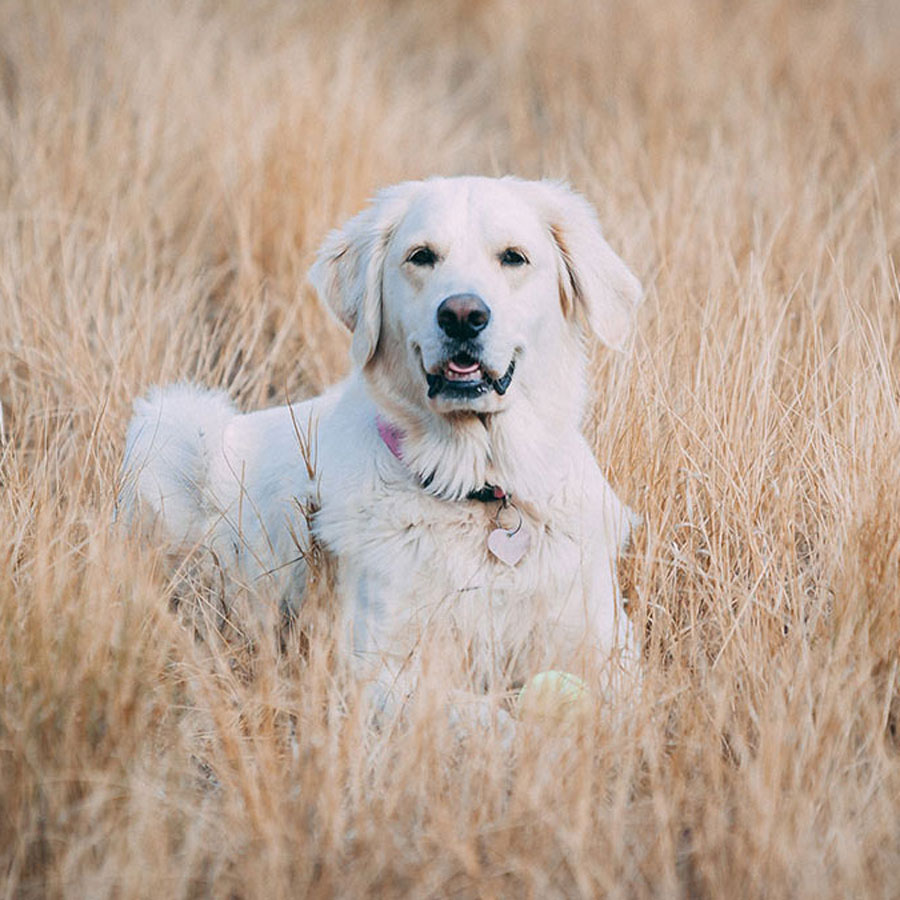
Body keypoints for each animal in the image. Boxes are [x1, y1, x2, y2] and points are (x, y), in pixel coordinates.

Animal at [119, 174, 644, 712]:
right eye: (421, 256)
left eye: (513, 257)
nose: (461, 315)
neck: (480, 489)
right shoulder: (375, 669)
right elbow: (477, 715)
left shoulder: (608, 644)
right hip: (175, 420)